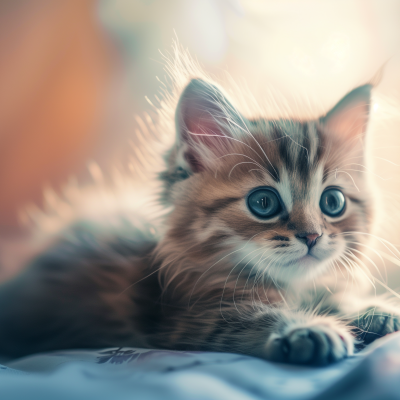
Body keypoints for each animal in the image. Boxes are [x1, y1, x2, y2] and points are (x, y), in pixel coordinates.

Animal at [0, 72, 400, 366]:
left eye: (332, 202)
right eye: (264, 203)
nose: (312, 236)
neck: (291, 287)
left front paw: (372, 311)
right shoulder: (193, 321)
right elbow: (256, 317)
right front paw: (306, 329)